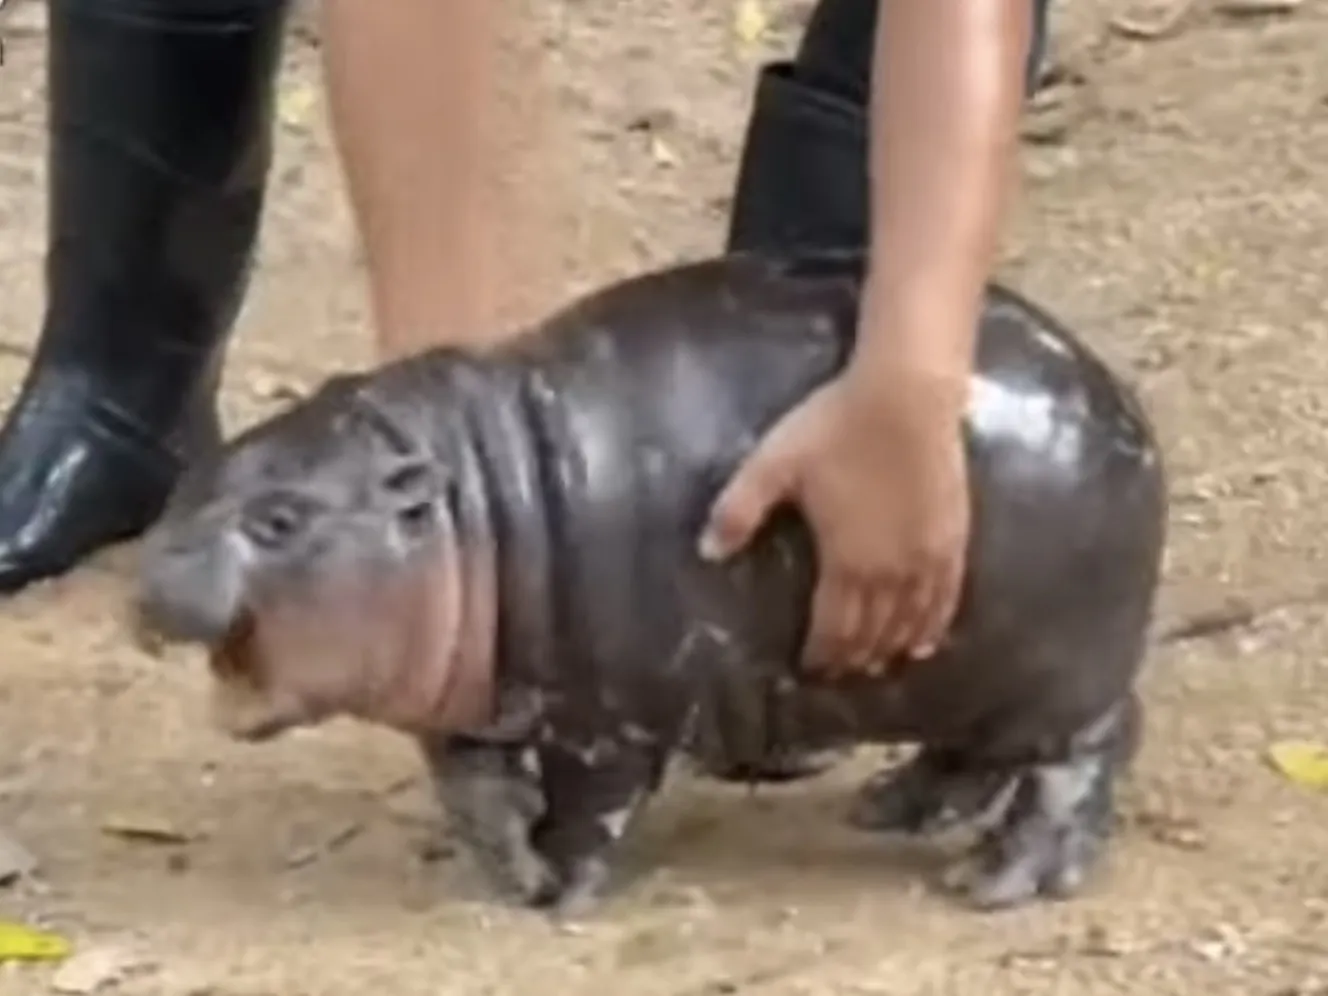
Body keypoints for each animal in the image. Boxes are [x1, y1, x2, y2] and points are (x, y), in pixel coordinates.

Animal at [134, 249, 1167, 919]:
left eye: (279, 520)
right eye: (193, 476)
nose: (146, 577)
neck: (472, 505)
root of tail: (1120, 402)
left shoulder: (613, 719)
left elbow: (590, 810)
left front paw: (562, 896)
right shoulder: (469, 706)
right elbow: (476, 792)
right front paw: (510, 874)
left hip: (1063, 680)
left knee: (1084, 759)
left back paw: (996, 884)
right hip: (968, 674)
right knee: (973, 754)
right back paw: (888, 810)